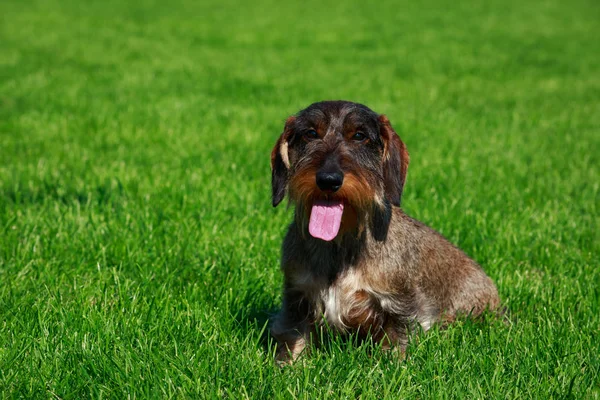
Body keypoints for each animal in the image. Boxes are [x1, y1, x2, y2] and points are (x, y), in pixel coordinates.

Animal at [270, 101, 500, 362]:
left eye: (359, 136)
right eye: (310, 133)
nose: (328, 179)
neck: (341, 242)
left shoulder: (399, 302)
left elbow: (396, 336)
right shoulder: (297, 296)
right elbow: (295, 335)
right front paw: (291, 365)